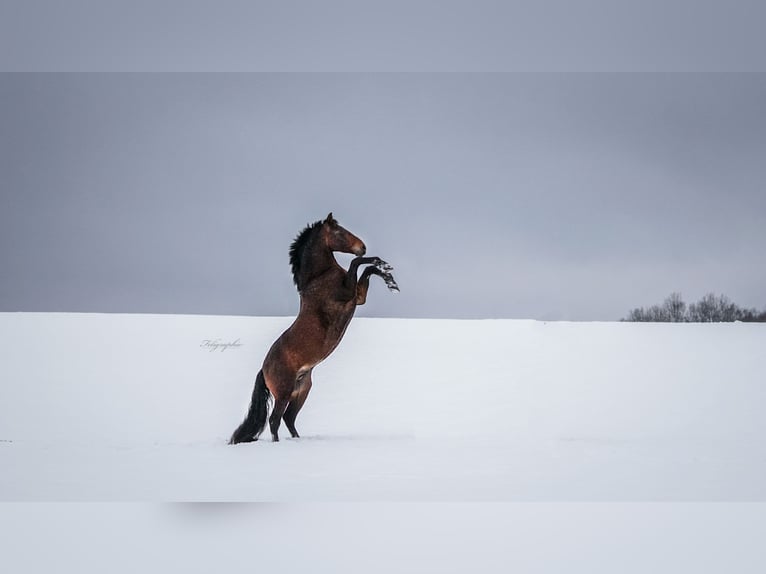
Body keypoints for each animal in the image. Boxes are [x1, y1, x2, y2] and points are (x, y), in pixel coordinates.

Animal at [230, 213, 400, 446]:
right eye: (338, 231)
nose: (362, 247)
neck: (318, 278)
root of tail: (263, 370)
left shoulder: (358, 297)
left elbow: (367, 270)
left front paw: (389, 277)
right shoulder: (348, 293)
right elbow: (357, 263)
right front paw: (380, 264)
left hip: (301, 391)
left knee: (288, 418)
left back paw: (298, 441)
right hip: (283, 393)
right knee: (275, 420)